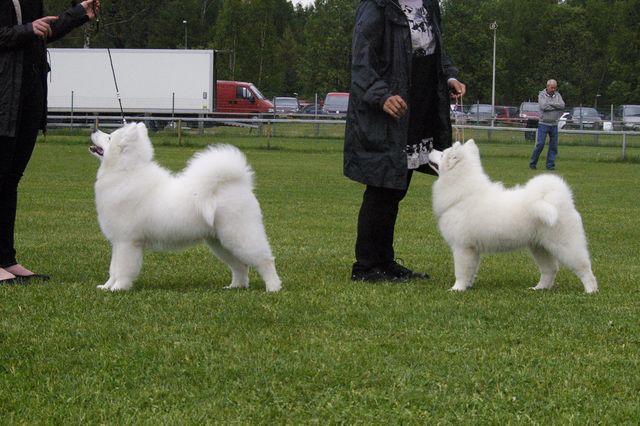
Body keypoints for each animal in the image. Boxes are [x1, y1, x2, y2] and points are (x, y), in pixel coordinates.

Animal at [89, 121, 282, 292]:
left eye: (109, 137)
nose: (94, 129)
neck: (124, 172)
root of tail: (237, 183)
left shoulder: (127, 242)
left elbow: (122, 269)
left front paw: (119, 288)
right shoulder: (118, 242)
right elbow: (113, 269)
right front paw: (106, 287)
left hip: (240, 235)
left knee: (265, 260)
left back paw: (273, 288)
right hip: (221, 243)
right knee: (239, 266)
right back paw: (235, 286)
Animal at [430, 140, 600, 292]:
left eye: (442, 153)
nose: (430, 148)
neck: (463, 193)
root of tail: (560, 198)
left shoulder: (462, 247)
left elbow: (460, 272)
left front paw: (457, 289)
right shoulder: (472, 249)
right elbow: (470, 271)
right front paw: (467, 286)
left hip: (565, 246)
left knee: (584, 268)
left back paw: (590, 291)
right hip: (539, 247)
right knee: (550, 269)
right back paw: (539, 288)